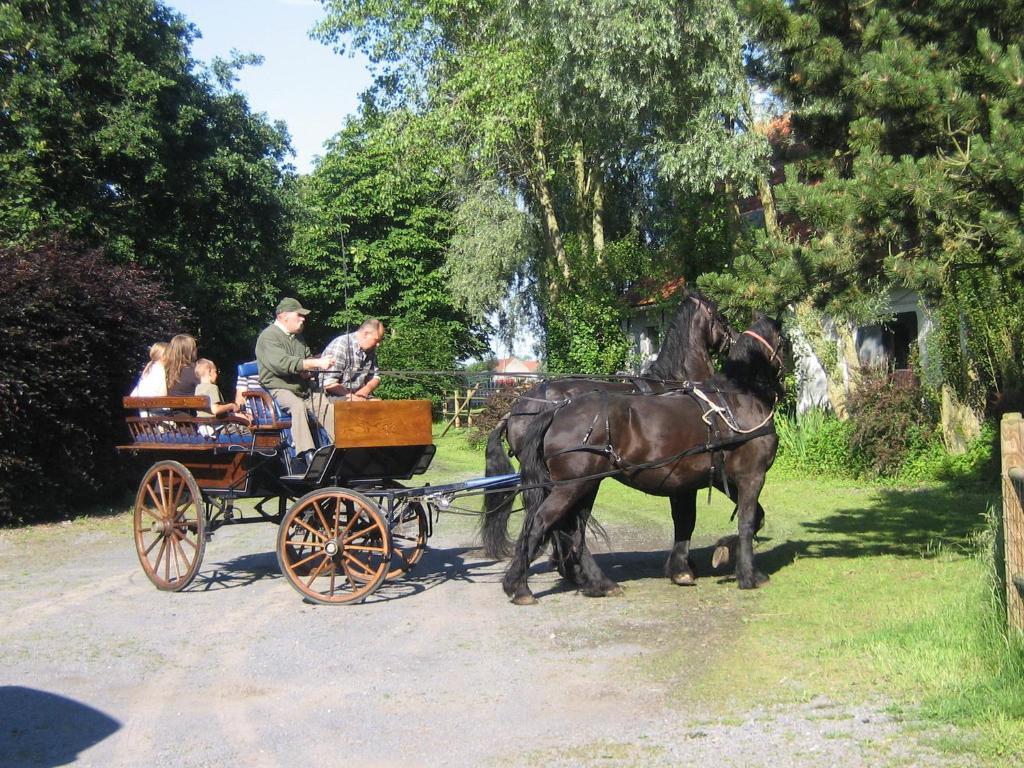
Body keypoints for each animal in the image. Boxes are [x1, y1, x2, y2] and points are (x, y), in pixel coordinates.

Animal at [499, 315, 778, 606]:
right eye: (721, 320)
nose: (731, 337)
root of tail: (551, 409)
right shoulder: (740, 476)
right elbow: (714, 520)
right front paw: (699, 569)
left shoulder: (706, 480)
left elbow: (719, 519)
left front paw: (699, 560)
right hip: (572, 486)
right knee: (544, 524)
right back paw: (525, 586)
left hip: (584, 486)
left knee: (571, 530)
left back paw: (590, 580)